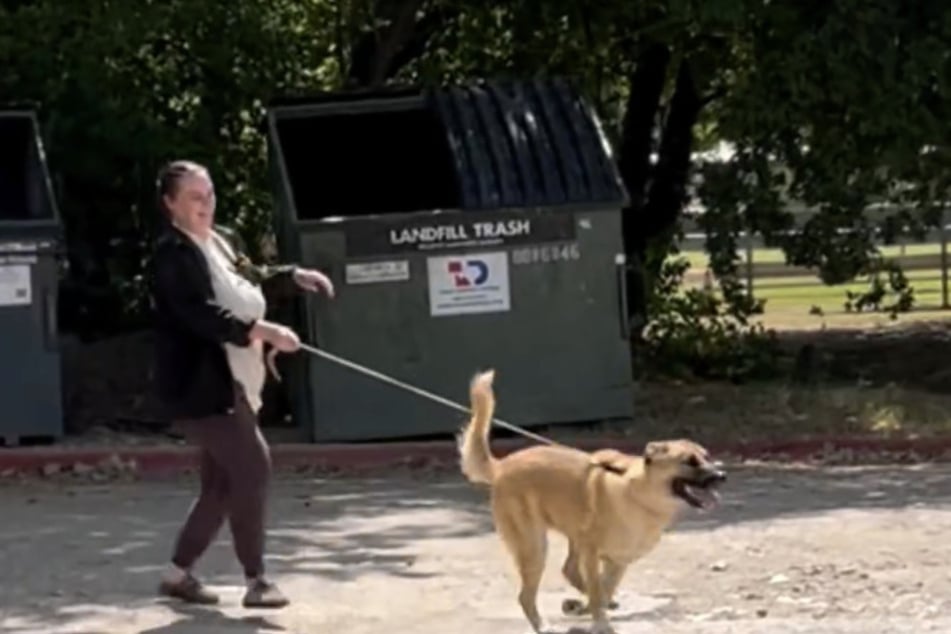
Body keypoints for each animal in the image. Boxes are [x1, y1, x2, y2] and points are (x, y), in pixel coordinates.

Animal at [458, 370, 724, 632]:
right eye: (689, 461)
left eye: (707, 456)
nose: (722, 475)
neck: (640, 497)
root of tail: (502, 466)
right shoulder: (593, 552)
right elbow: (597, 591)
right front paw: (599, 620)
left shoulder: (617, 561)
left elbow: (603, 590)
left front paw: (589, 609)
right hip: (534, 548)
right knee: (527, 595)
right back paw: (543, 625)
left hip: (568, 538)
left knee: (569, 570)